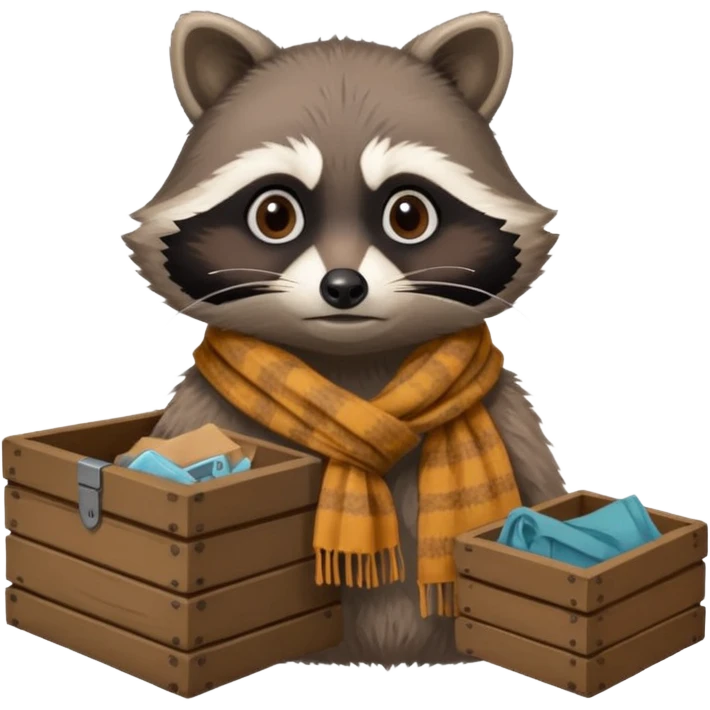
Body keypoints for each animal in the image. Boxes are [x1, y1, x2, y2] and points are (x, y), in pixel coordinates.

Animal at [124, 10, 567, 669]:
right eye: (274, 215)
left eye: (408, 215)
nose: (342, 287)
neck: (354, 373)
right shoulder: (208, 414)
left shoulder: (512, 427)